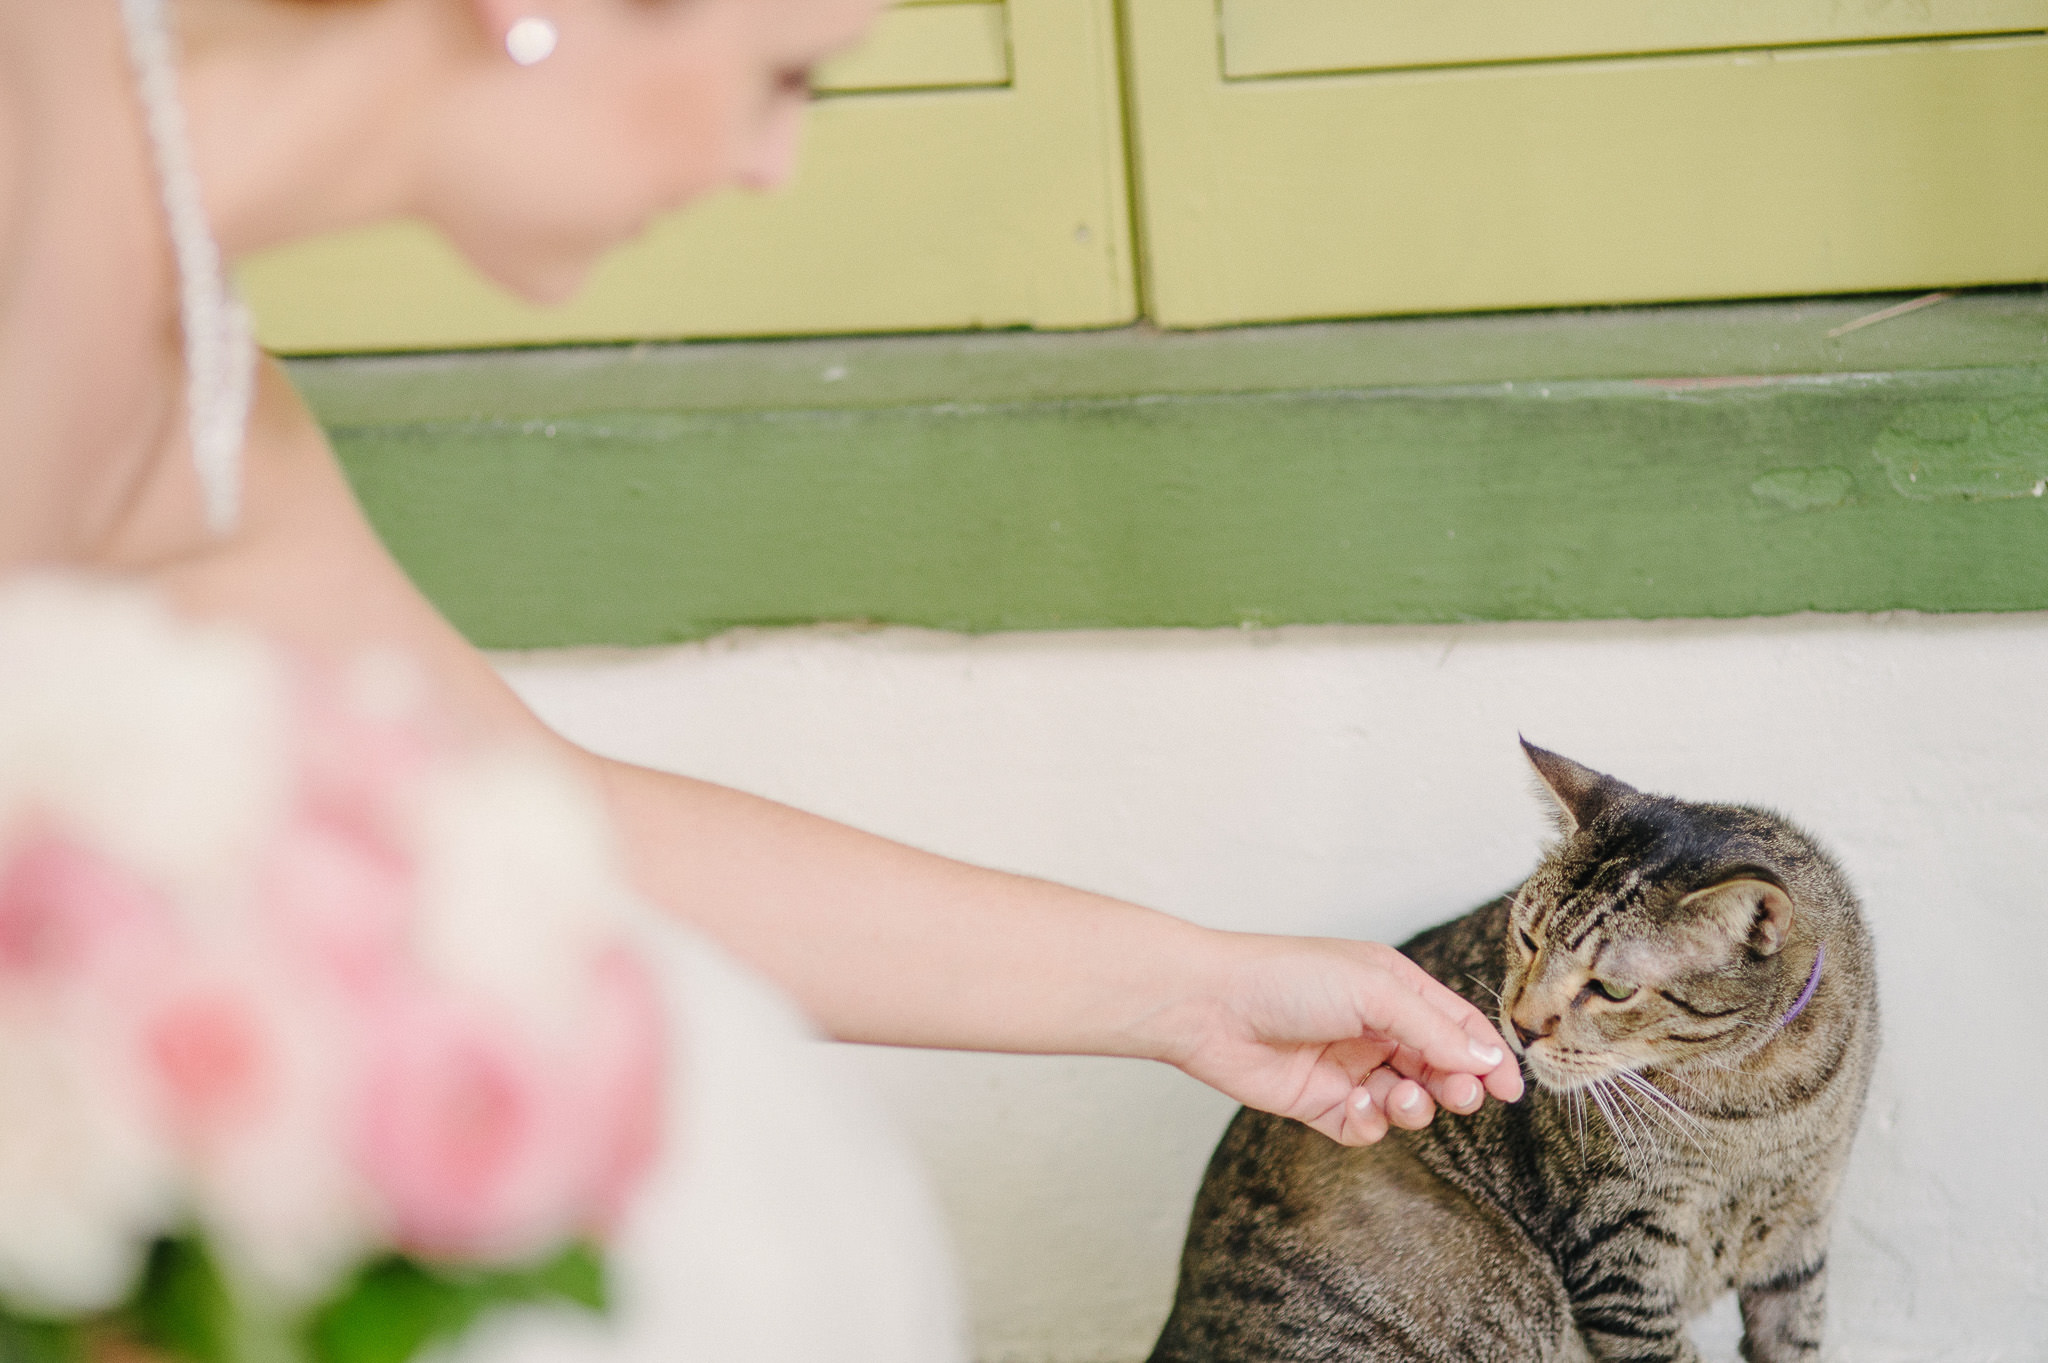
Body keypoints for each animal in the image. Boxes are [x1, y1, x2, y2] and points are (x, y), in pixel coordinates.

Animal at [1155, 744, 1875, 1358]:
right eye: (1528, 938)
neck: (1757, 1106)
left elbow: (1795, 1339)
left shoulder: (1800, 1236)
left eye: (1613, 989)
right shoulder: (1618, 1257)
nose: (1522, 1026)